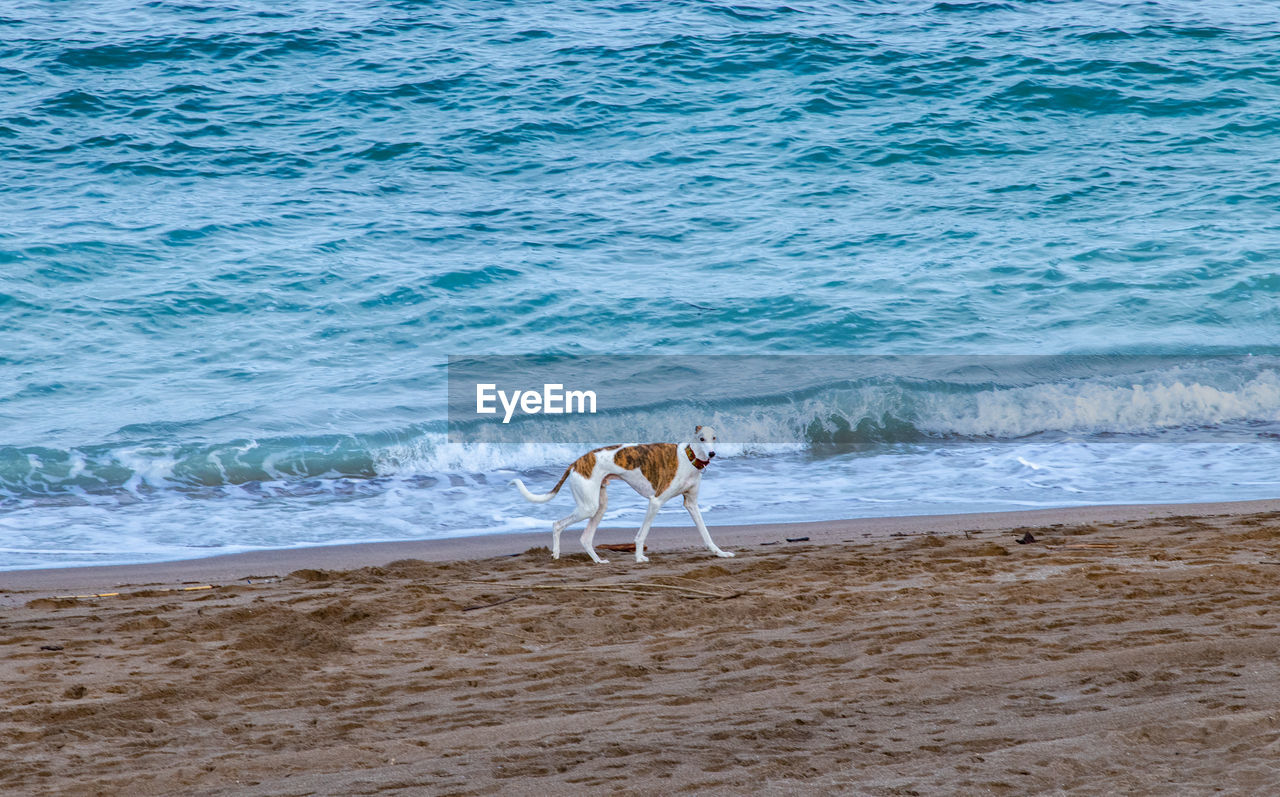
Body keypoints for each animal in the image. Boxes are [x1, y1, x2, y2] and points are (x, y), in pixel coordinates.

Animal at [506, 427, 732, 565]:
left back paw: (597, 560)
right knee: (557, 524)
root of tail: (575, 463)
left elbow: (706, 533)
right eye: (701, 439)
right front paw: (639, 557)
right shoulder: (656, 501)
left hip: (599, 506)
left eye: (714, 438)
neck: (688, 457)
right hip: (588, 507)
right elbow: (641, 534)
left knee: (585, 537)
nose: (712, 454)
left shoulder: (691, 504)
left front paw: (720, 553)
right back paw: (556, 554)